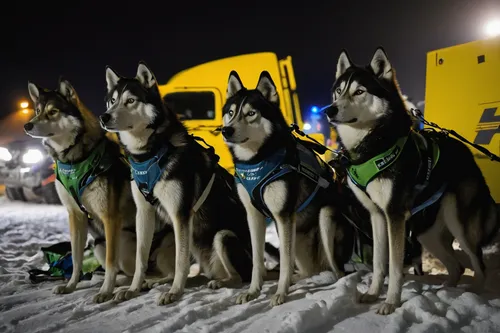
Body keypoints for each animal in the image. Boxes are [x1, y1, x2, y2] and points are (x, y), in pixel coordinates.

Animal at [23, 77, 176, 300]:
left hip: (127, 241)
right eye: (37, 110)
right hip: (99, 246)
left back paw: (146, 283)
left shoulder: (110, 218)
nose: (27, 125)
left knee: (162, 272)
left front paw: (105, 291)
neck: (75, 160)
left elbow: (112, 263)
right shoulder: (75, 216)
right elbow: (76, 259)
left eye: (53, 111)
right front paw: (71, 285)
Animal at [99, 61, 254, 304]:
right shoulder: (144, 213)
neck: (152, 152)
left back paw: (220, 282)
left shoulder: (180, 214)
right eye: (112, 100)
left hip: (224, 236)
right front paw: (133, 289)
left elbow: (181, 261)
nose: (104, 117)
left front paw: (174, 292)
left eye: (131, 100)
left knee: (239, 276)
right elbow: (141, 259)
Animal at [221, 70, 354, 306]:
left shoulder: (283, 216)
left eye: (251, 113)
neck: (257, 159)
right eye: (231, 112)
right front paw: (253, 291)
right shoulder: (253, 215)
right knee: (306, 268)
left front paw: (280, 293)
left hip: (326, 216)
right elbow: (257, 260)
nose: (226, 130)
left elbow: (284, 260)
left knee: (337, 270)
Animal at [322, 47, 498, 314]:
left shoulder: (394, 215)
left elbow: (395, 266)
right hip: (428, 234)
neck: (373, 145)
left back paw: (475, 294)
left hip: (458, 223)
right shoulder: (377, 215)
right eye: (338, 91)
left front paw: (391, 302)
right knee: (457, 266)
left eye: (359, 91)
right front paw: (373, 294)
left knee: (478, 265)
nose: (329, 110)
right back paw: (447, 289)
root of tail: (466, 151)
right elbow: (379, 263)